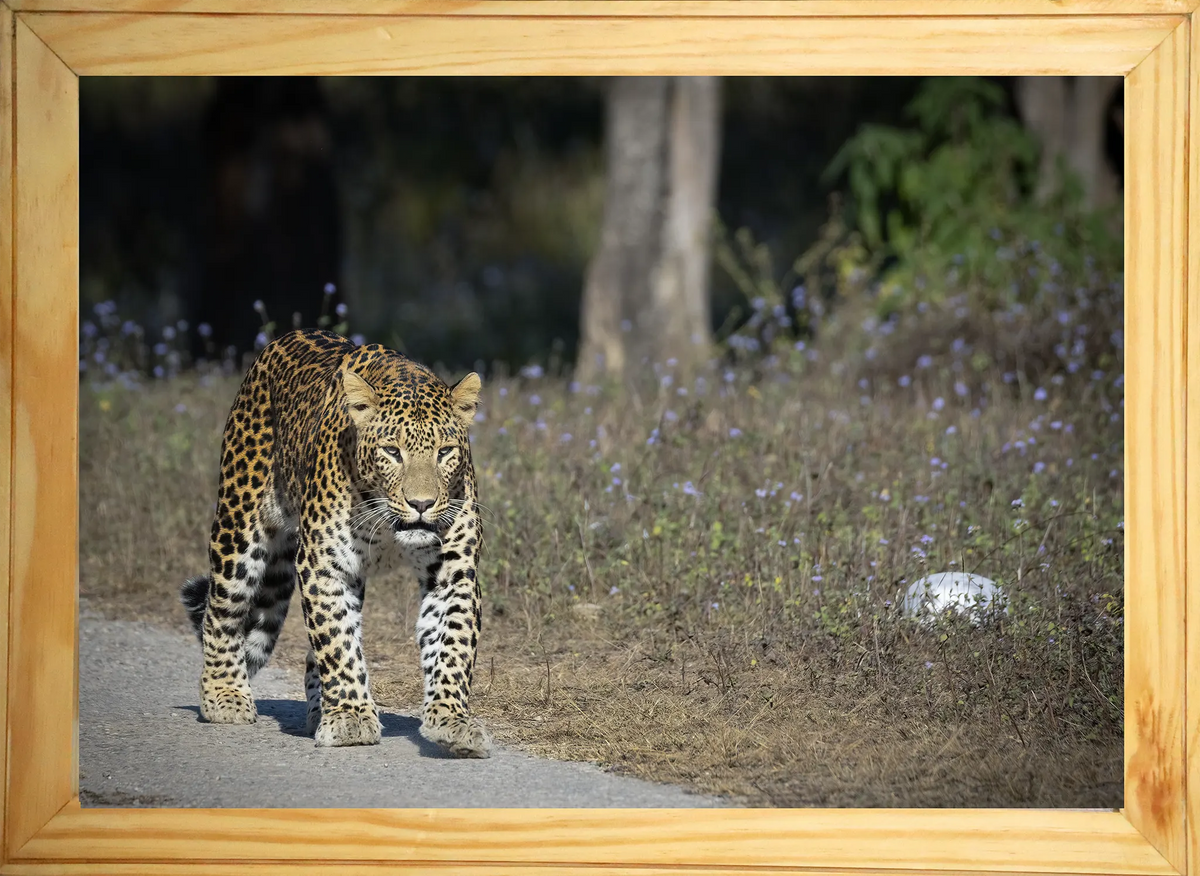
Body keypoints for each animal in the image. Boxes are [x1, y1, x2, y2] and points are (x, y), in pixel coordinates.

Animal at [179, 328, 490, 756]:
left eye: (445, 452)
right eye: (392, 451)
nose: (422, 504)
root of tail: (286, 338)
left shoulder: (453, 574)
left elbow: (452, 646)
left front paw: (452, 720)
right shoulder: (323, 565)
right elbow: (338, 643)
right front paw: (351, 718)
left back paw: (317, 708)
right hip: (239, 524)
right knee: (222, 610)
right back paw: (223, 695)